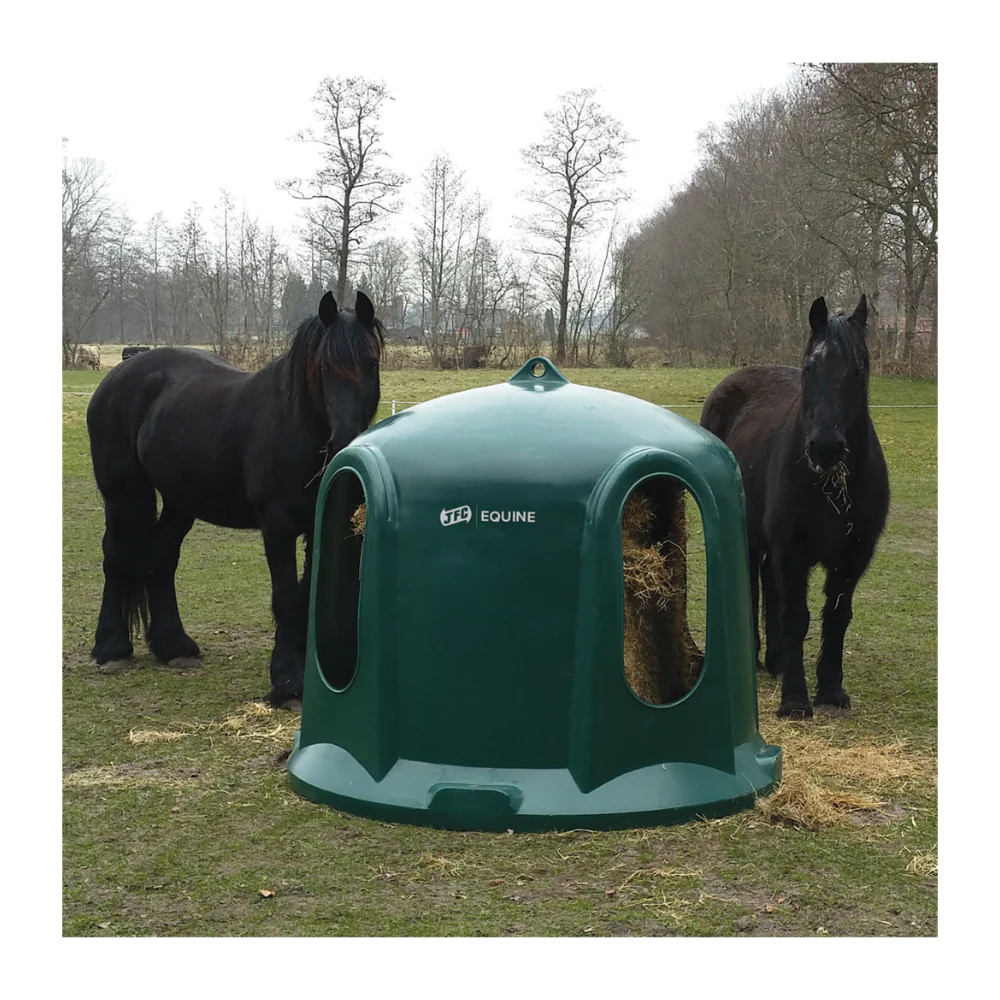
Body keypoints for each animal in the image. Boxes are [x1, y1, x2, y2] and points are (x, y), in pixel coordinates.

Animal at [86, 291, 384, 708]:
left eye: (371, 363)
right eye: (323, 366)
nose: (344, 440)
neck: (294, 426)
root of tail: (118, 375)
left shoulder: (315, 526)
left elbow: (306, 596)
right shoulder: (277, 526)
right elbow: (286, 598)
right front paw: (287, 684)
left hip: (179, 501)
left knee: (162, 558)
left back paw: (175, 647)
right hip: (123, 493)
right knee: (116, 556)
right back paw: (112, 649)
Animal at [700, 295, 889, 718]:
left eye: (859, 368)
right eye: (809, 368)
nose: (825, 447)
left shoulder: (854, 556)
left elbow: (836, 617)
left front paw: (831, 692)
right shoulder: (792, 551)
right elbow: (796, 618)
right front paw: (796, 700)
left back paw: (778, 661)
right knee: (755, 587)